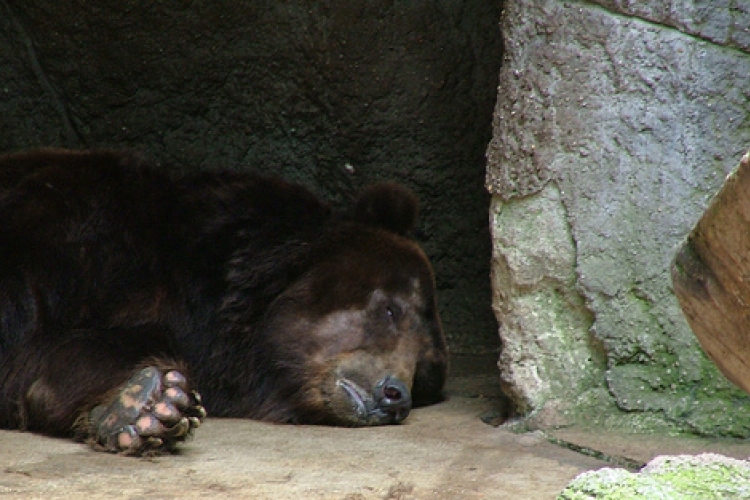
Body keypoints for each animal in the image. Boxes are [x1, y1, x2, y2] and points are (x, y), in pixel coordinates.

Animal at [0, 147, 446, 454]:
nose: (395, 395)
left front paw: (145, 404)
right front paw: (151, 401)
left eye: (424, 369)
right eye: (391, 309)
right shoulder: (72, 231)